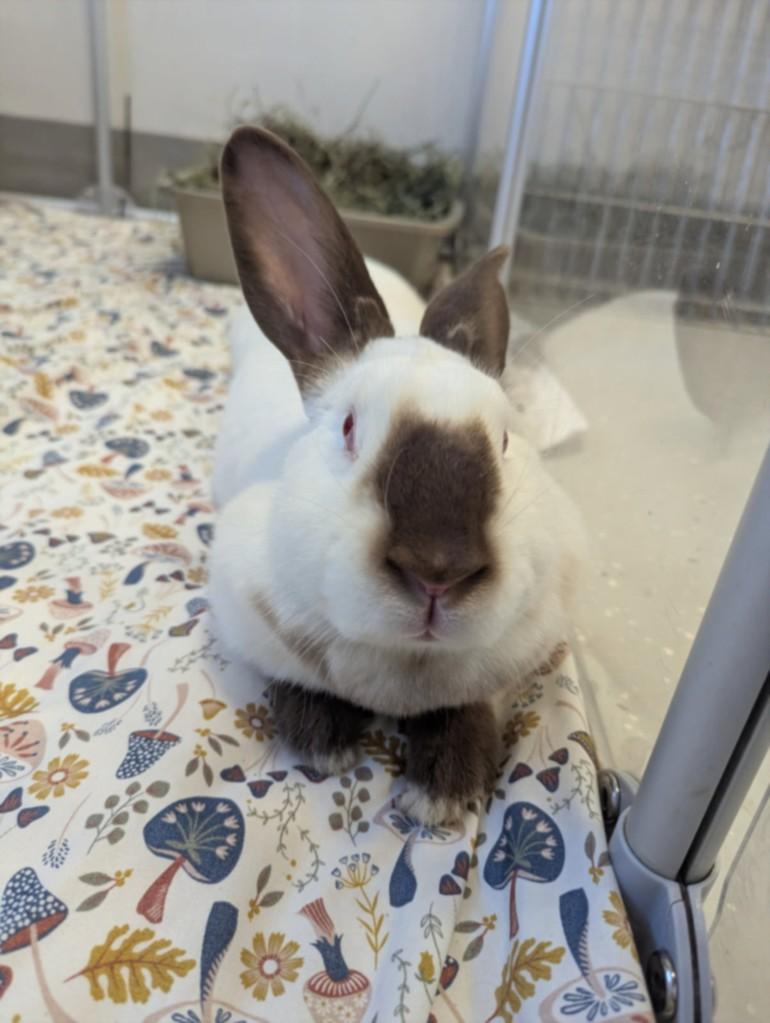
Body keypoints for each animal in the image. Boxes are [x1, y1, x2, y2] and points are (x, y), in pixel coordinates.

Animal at [208, 125, 585, 826]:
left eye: (505, 439)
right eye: (349, 428)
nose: (437, 571)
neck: (406, 668)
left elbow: (472, 710)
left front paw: (444, 791)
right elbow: (292, 679)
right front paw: (324, 742)